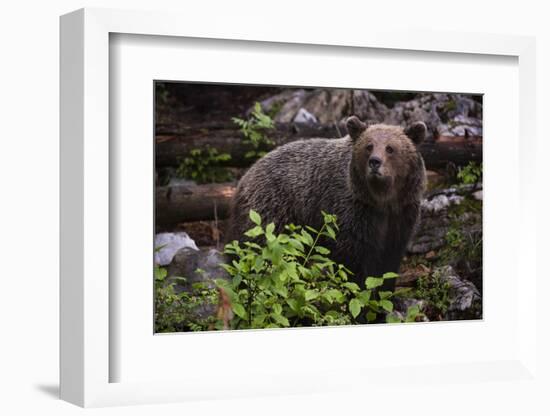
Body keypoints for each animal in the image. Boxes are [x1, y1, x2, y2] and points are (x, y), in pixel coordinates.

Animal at [226, 117, 430, 290]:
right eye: (369, 146)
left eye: (390, 148)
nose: (375, 162)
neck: (381, 200)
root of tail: (245, 176)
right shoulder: (351, 212)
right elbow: (352, 261)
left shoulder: (401, 214)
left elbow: (389, 262)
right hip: (270, 211)